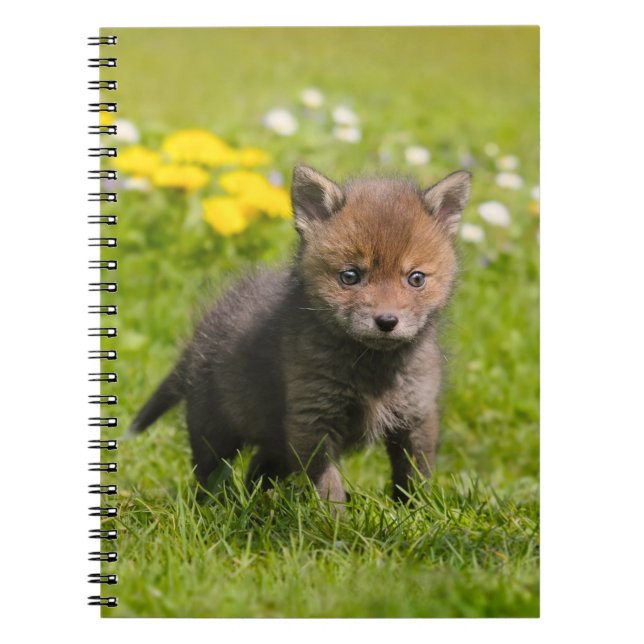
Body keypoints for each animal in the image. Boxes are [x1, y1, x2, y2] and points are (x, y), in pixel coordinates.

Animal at [128, 165, 471, 507]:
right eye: (350, 276)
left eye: (416, 278)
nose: (387, 321)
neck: (372, 369)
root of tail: (199, 335)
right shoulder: (312, 418)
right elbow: (328, 484)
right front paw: (335, 520)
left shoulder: (416, 415)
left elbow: (413, 476)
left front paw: (415, 511)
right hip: (215, 431)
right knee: (209, 475)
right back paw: (214, 507)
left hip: (275, 441)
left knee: (257, 469)